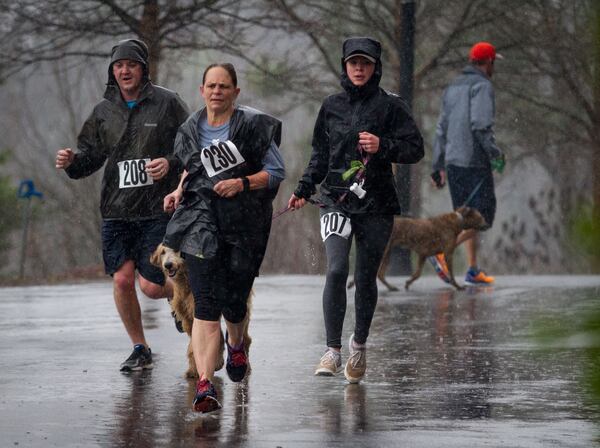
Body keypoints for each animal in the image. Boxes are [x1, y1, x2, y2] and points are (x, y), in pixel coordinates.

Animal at [151, 245, 254, 378]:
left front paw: (217, 362)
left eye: (176, 250)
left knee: (245, 337)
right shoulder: (188, 318)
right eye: (163, 252)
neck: (186, 282)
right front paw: (193, 369)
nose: (168, 265)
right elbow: (195, 344)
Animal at [346, 206, 488, 290]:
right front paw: (457, 286)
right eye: (481, 217)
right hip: (384, 252)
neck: (458, 221)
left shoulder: (423, 254)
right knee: (376, 273)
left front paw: (408, 282)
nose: (487, 225)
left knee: (378, 274)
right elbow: (450, 274)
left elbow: (418, 273)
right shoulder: (446, 253)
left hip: (386, 252)